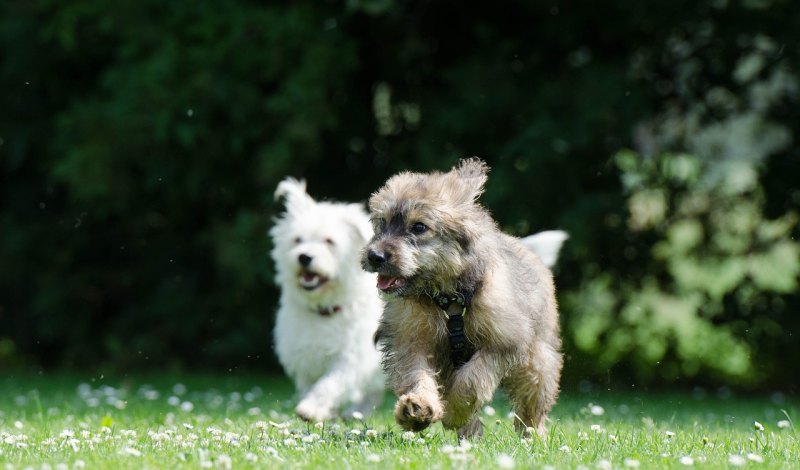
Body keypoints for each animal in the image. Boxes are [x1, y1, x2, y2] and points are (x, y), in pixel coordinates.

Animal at [270, 178, 386, 420]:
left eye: (329, 241)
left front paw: (311, 408)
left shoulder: (350, 358)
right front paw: (318, 409)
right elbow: (309, 385)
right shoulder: (305, 358)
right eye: (297, 240)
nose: (304, 257)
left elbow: (330, 383)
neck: (324, 308)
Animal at [362, 157, 564, 436]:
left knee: (532, 406)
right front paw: (418, 407)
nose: (375, 256)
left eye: (419, 227)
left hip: (538, 362)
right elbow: (416, 374)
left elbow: (472, 381)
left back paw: (532, 436)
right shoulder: (411, 340)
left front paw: (454, 412)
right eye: (382, 222)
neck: (447, 300)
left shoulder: (502, 342)